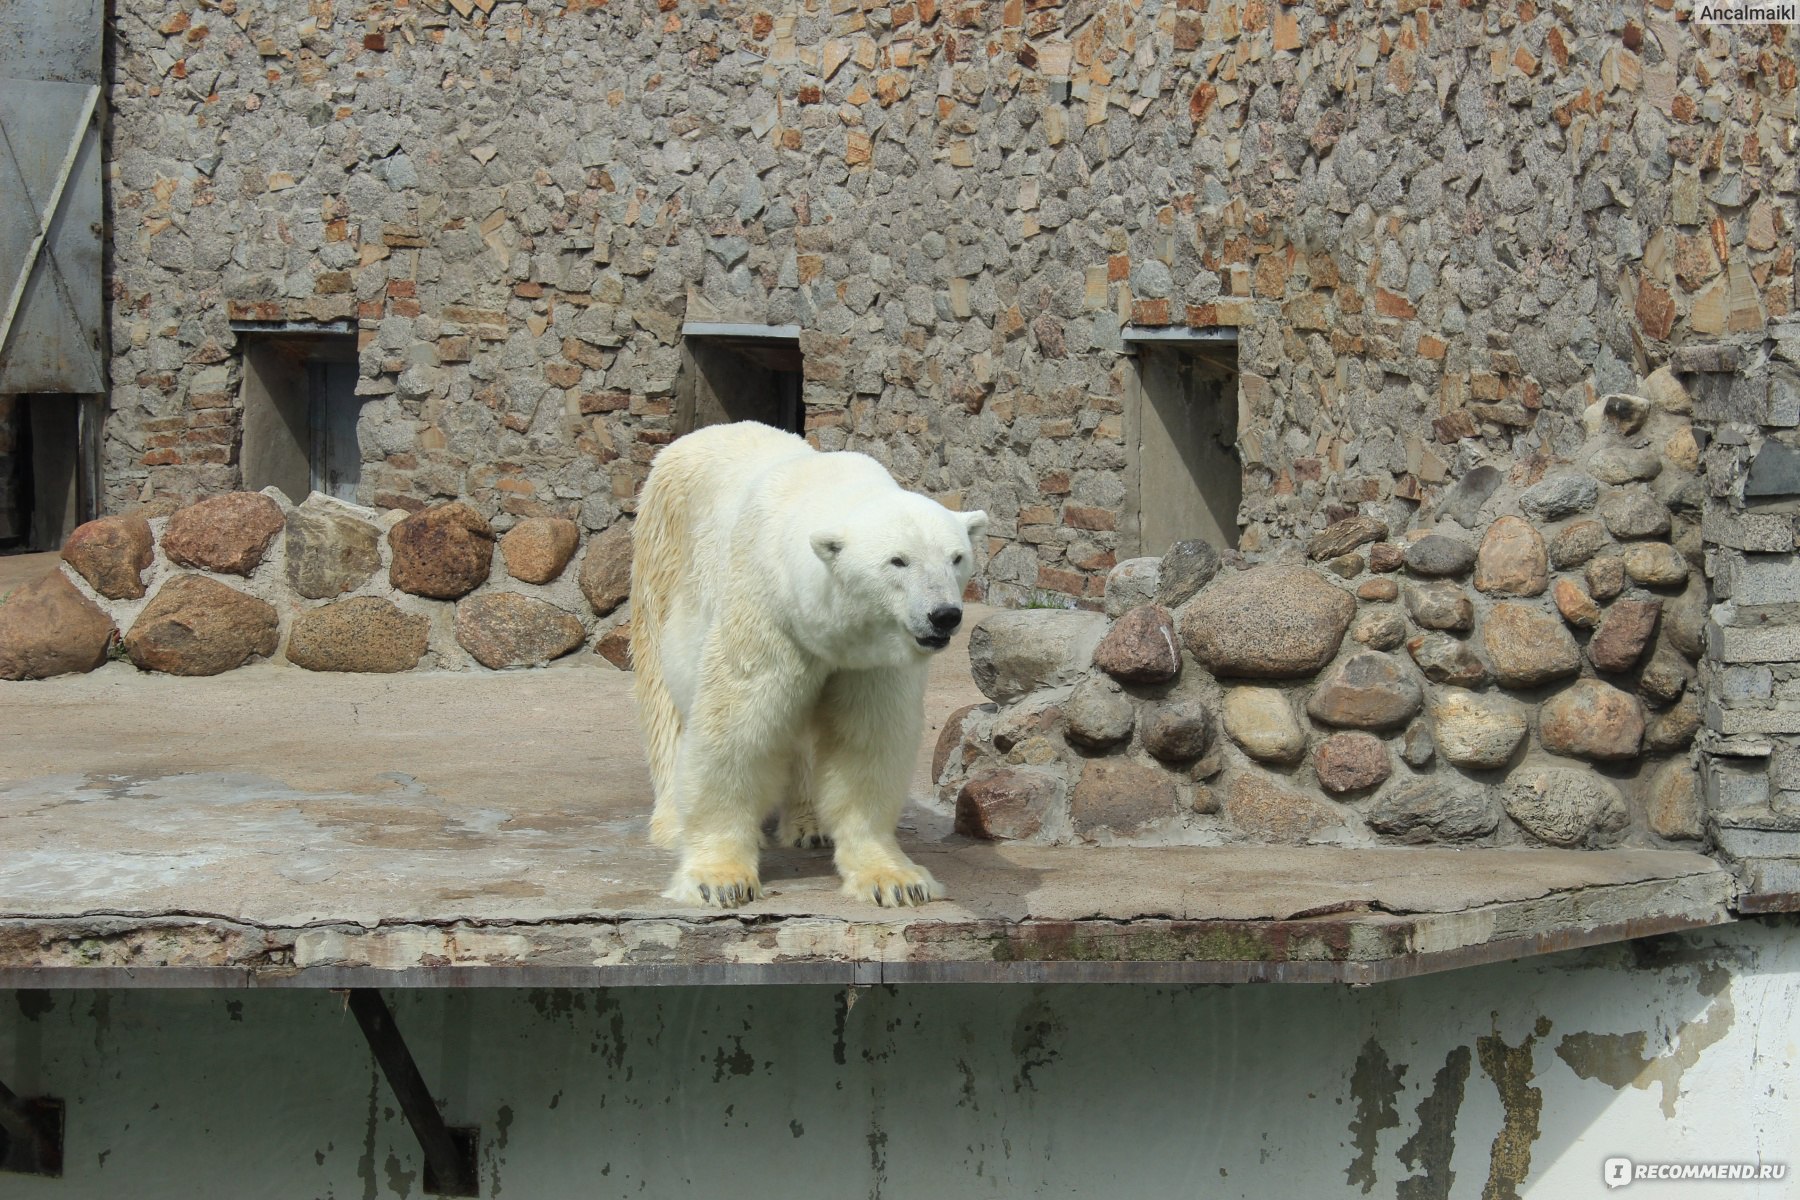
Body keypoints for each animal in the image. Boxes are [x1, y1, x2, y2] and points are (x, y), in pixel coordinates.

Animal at [633, 422, 993, 910]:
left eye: (956, 557)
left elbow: (865, 742)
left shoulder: (869, 658)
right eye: (898, 560)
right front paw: (719, 878)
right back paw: (672, 823)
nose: (944, 615)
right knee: (664, 701)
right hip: (662, 558)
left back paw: (810, 826)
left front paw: (895, 879)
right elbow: (737, 727)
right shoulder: (765, 610)